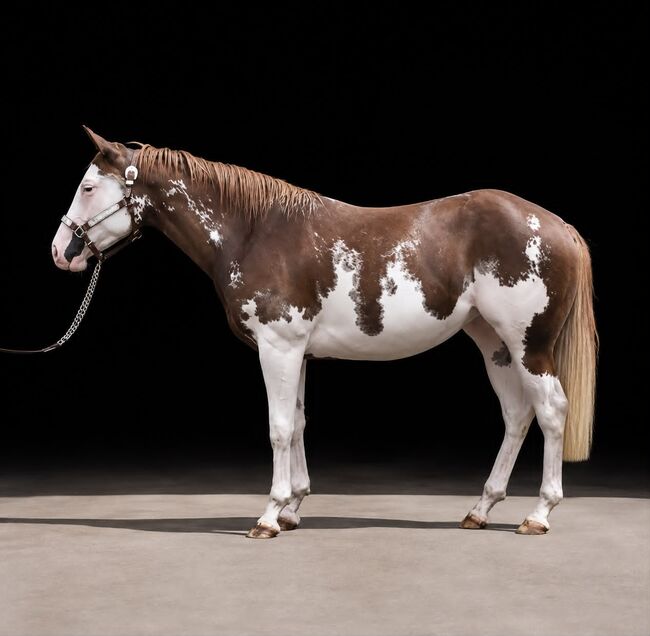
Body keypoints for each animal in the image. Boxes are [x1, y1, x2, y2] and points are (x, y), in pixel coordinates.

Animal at [51, 127, 597, 539]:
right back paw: (481, 510)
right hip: (494, 344)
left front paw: (268, 517)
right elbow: (298, 425)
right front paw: (293, 508)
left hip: (530, 345)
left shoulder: (277, 349)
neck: (255, 231)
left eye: (87, 187)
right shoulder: (297, 353)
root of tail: (558, 225)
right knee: (517, 415)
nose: (60, 251)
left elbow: (278, 428)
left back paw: (538, 514)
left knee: (551, 411)